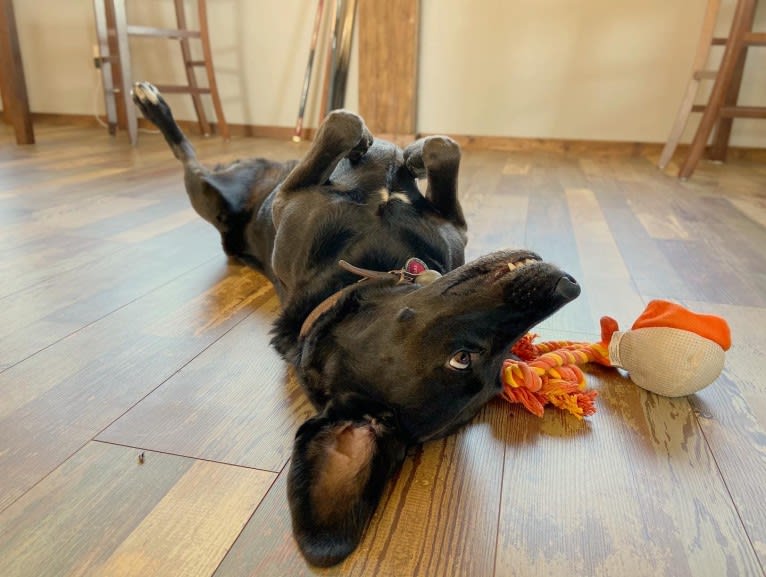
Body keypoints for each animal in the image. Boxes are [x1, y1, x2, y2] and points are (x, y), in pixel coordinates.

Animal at [132, 81, 584, 568]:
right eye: (467, 360)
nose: (567, 287)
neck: (371, 267)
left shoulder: (303, 197)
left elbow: (357, 126)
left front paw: (392, 149)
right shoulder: (431, 220)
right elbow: (415, 139)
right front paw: (403, 152)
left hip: (212, 194)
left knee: (192, 161)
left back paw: (152, 103)